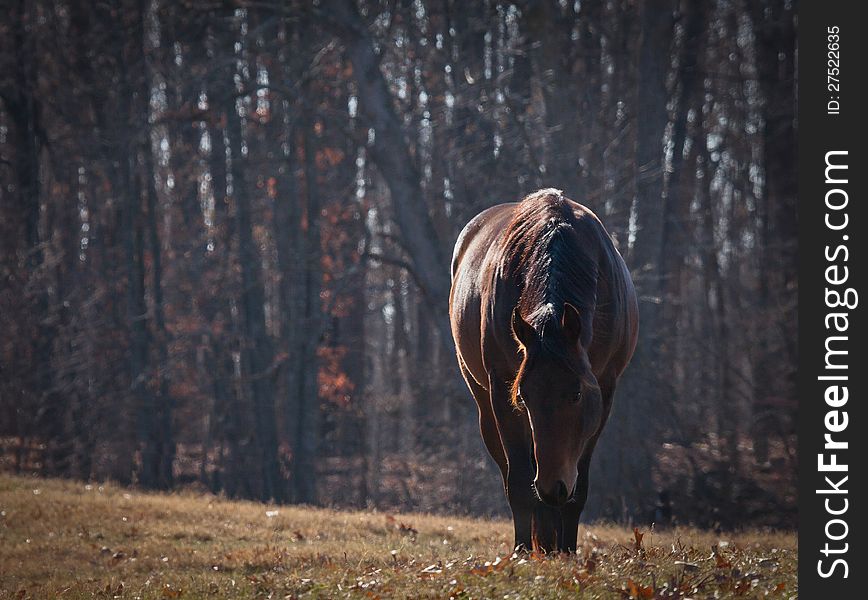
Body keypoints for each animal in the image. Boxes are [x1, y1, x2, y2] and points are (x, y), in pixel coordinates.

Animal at [448, 189, 636, 552]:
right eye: (523, 397)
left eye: (576, 394)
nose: (553, 489)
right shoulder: (502, 390)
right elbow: (520, 482)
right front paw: (524, 549)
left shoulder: (604, 392)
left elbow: (580, 486)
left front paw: (567, 550)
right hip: (484, 405)